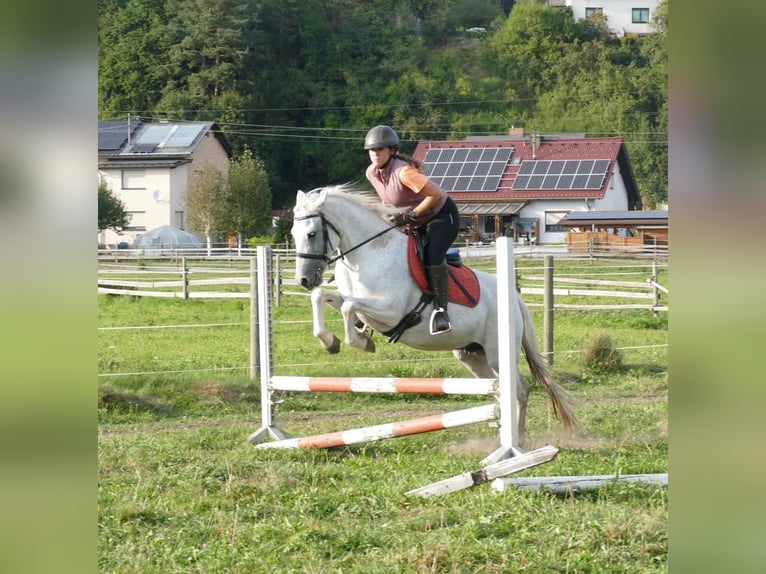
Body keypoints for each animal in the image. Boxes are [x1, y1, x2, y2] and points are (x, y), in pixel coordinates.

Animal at [292, 184, 580, 446]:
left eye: (312, 233)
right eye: (294, 234)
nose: (304, 280)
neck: (368, 253)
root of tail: (515, 298)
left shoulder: (390, 310)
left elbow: (347, 307)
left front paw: (360, 342)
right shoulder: (354, 300)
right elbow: (323, 297)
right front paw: (331, 341)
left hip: (498, 352)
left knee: (518, 390)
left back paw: (516, 441)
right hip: (473, 356)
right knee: (499, 391)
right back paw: (501, 434)